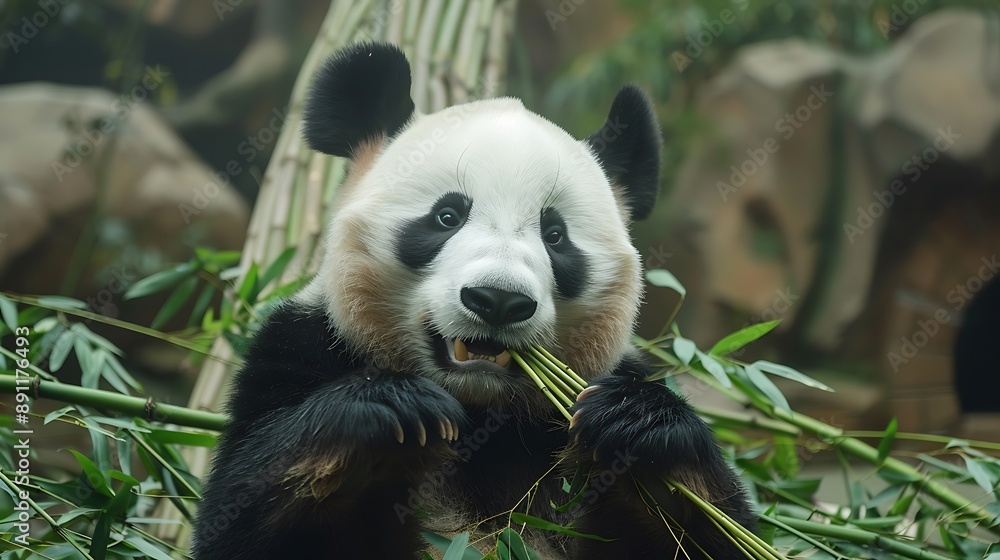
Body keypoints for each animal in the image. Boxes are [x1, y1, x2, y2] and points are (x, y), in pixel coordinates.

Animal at [192, 42, 756, 559]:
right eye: (447, 216)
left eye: (555, 235)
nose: (498, 300)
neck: (480, 415)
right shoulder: (302, 344)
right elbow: (242, 514)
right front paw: (393, 409)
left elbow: (712, 530)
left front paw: (640, 424)